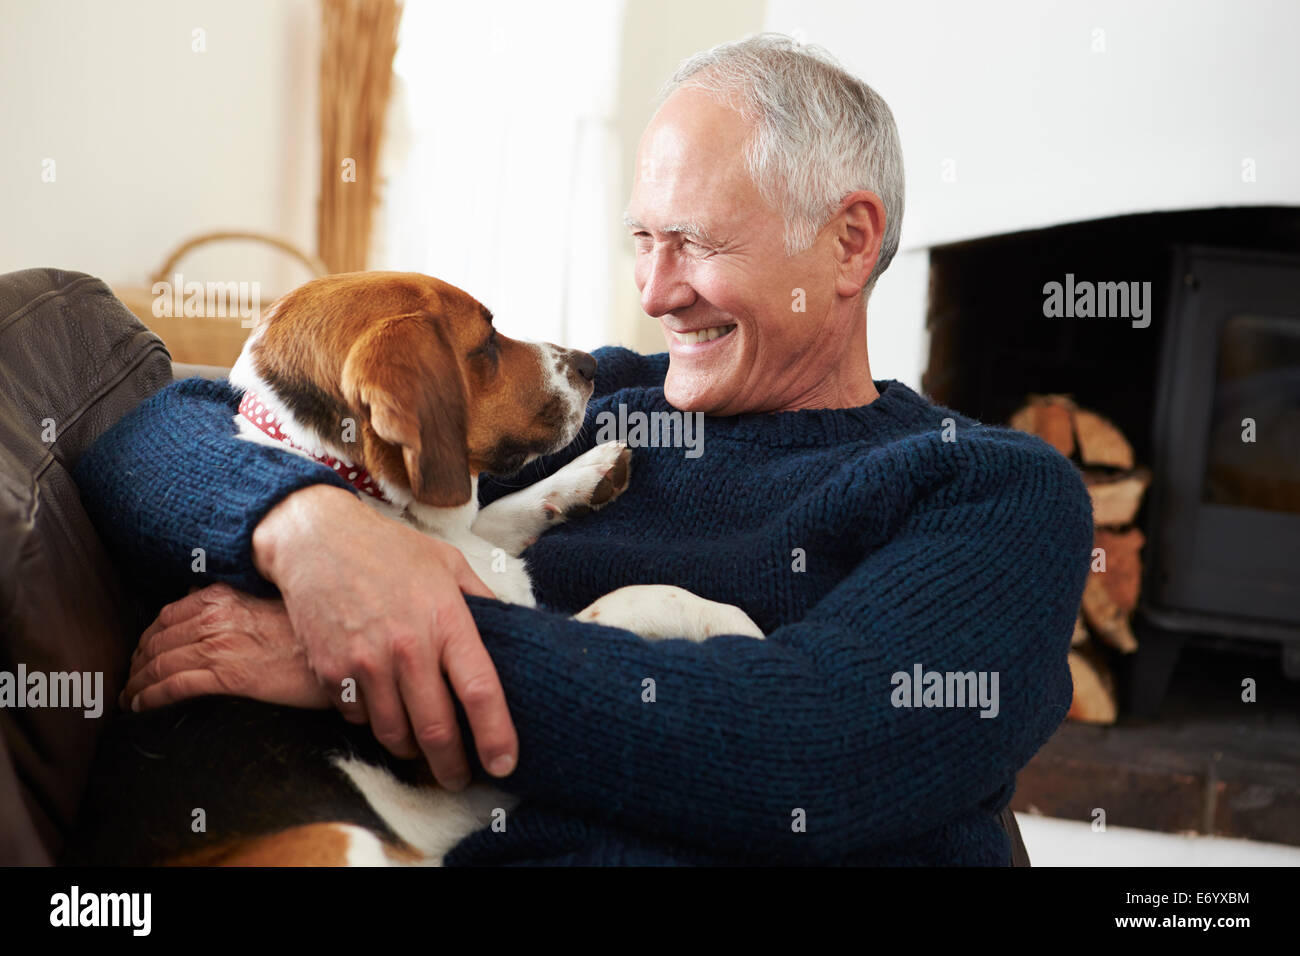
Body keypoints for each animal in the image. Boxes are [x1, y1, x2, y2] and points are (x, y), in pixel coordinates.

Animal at [146, 270, 759, 868]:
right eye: (485, 343)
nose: (590, 365)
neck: (357, 482)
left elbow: (498, 515)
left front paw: (588, 473)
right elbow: (631, 599)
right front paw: (729, 622)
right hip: (344, 840)